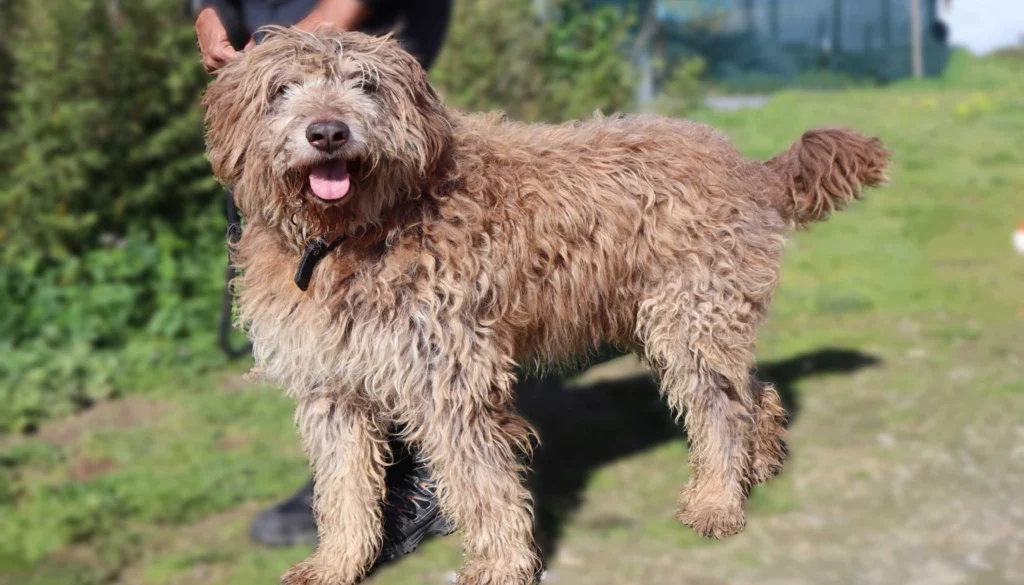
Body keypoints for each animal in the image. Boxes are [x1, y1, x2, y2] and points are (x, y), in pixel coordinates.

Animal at [201, 28, 888, 585]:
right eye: (282, 89)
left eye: (364, 84)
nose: (327, 132)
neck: (359, 229)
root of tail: (744, 165)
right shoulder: (334, 389)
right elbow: (344, 487)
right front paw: (338, 563)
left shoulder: (451, 376)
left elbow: (481, 484)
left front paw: (500, 566)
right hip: (679, 317)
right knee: (749, 390)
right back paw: (760, 461)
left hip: (690, 315)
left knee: (719, 410)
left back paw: (719, 498)